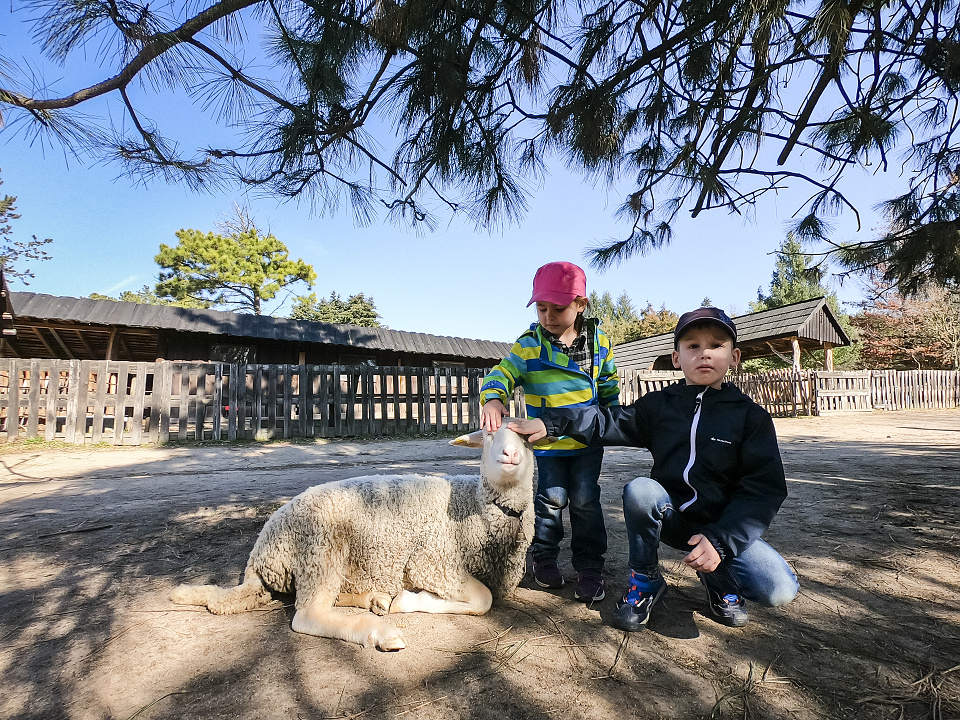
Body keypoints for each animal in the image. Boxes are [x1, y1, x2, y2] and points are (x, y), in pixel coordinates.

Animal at [171, 422, 540, 652]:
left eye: (526, 439)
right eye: (489, 436)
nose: (510, 455)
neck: (473, 503)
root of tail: (261, 550)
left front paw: (395, 600)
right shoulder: (433, 564)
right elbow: (482, 600)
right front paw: (409, 600)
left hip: (330, 565)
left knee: (331, 599)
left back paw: (375, 600)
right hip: (321, 550)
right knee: (308, 616)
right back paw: (380, 631)